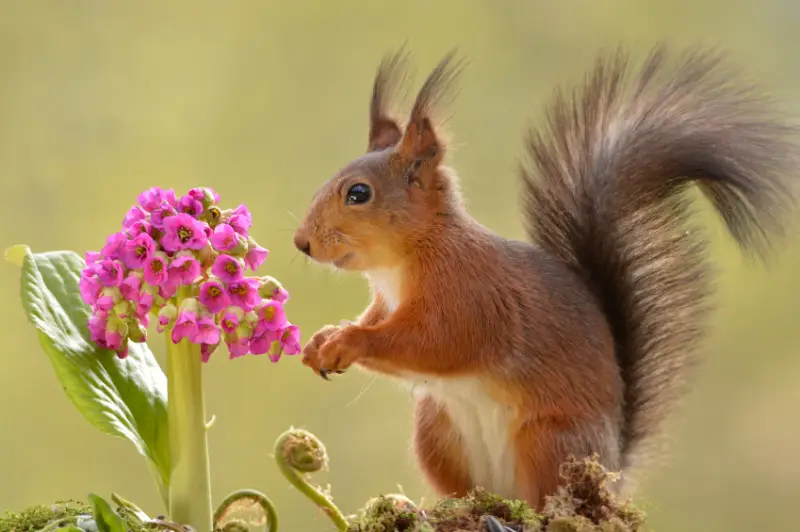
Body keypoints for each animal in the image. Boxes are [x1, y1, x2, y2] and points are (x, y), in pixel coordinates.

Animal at [290, 44, 796, 508]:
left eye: (359, 193)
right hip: (435, 432)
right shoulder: (385, 303)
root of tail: (612, 470)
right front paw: (324, 339)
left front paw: (350, 342)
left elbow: (436, 342)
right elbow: (375, 320)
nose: (302, 243)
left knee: (542, 499)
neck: (401, 265)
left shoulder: (471, 296)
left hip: (548, 441)